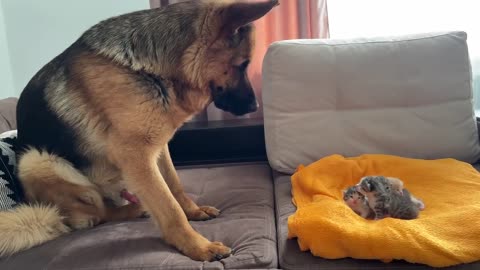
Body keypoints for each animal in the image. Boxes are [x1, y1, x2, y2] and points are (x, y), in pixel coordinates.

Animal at [0, 0, 280, 262]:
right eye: (242, 64)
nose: (256, 107)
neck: (153, 69)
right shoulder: (136, 157)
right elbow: (170, 208)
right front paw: (199, 247)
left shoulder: (158, 147)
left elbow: (174, 186)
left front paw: (193, 211)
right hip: (37, 161)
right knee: (101, 214)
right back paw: (133, 211)